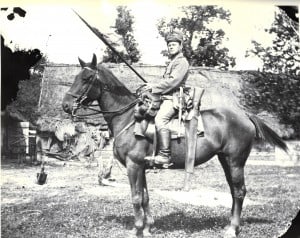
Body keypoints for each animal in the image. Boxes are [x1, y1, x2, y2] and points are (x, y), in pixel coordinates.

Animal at [61, 54, 288, 238]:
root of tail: (244, 115)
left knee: (240, 191)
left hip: (235, 161)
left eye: (86, 78)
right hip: (226, 160)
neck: (128, 118)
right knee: (234, 191)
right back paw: (230, 225)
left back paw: (232, 229)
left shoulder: (133, 165)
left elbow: (135, 197)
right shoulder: (141, 166)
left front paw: (136, 229)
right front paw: (148, 227)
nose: (65, 105)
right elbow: (145, 197)